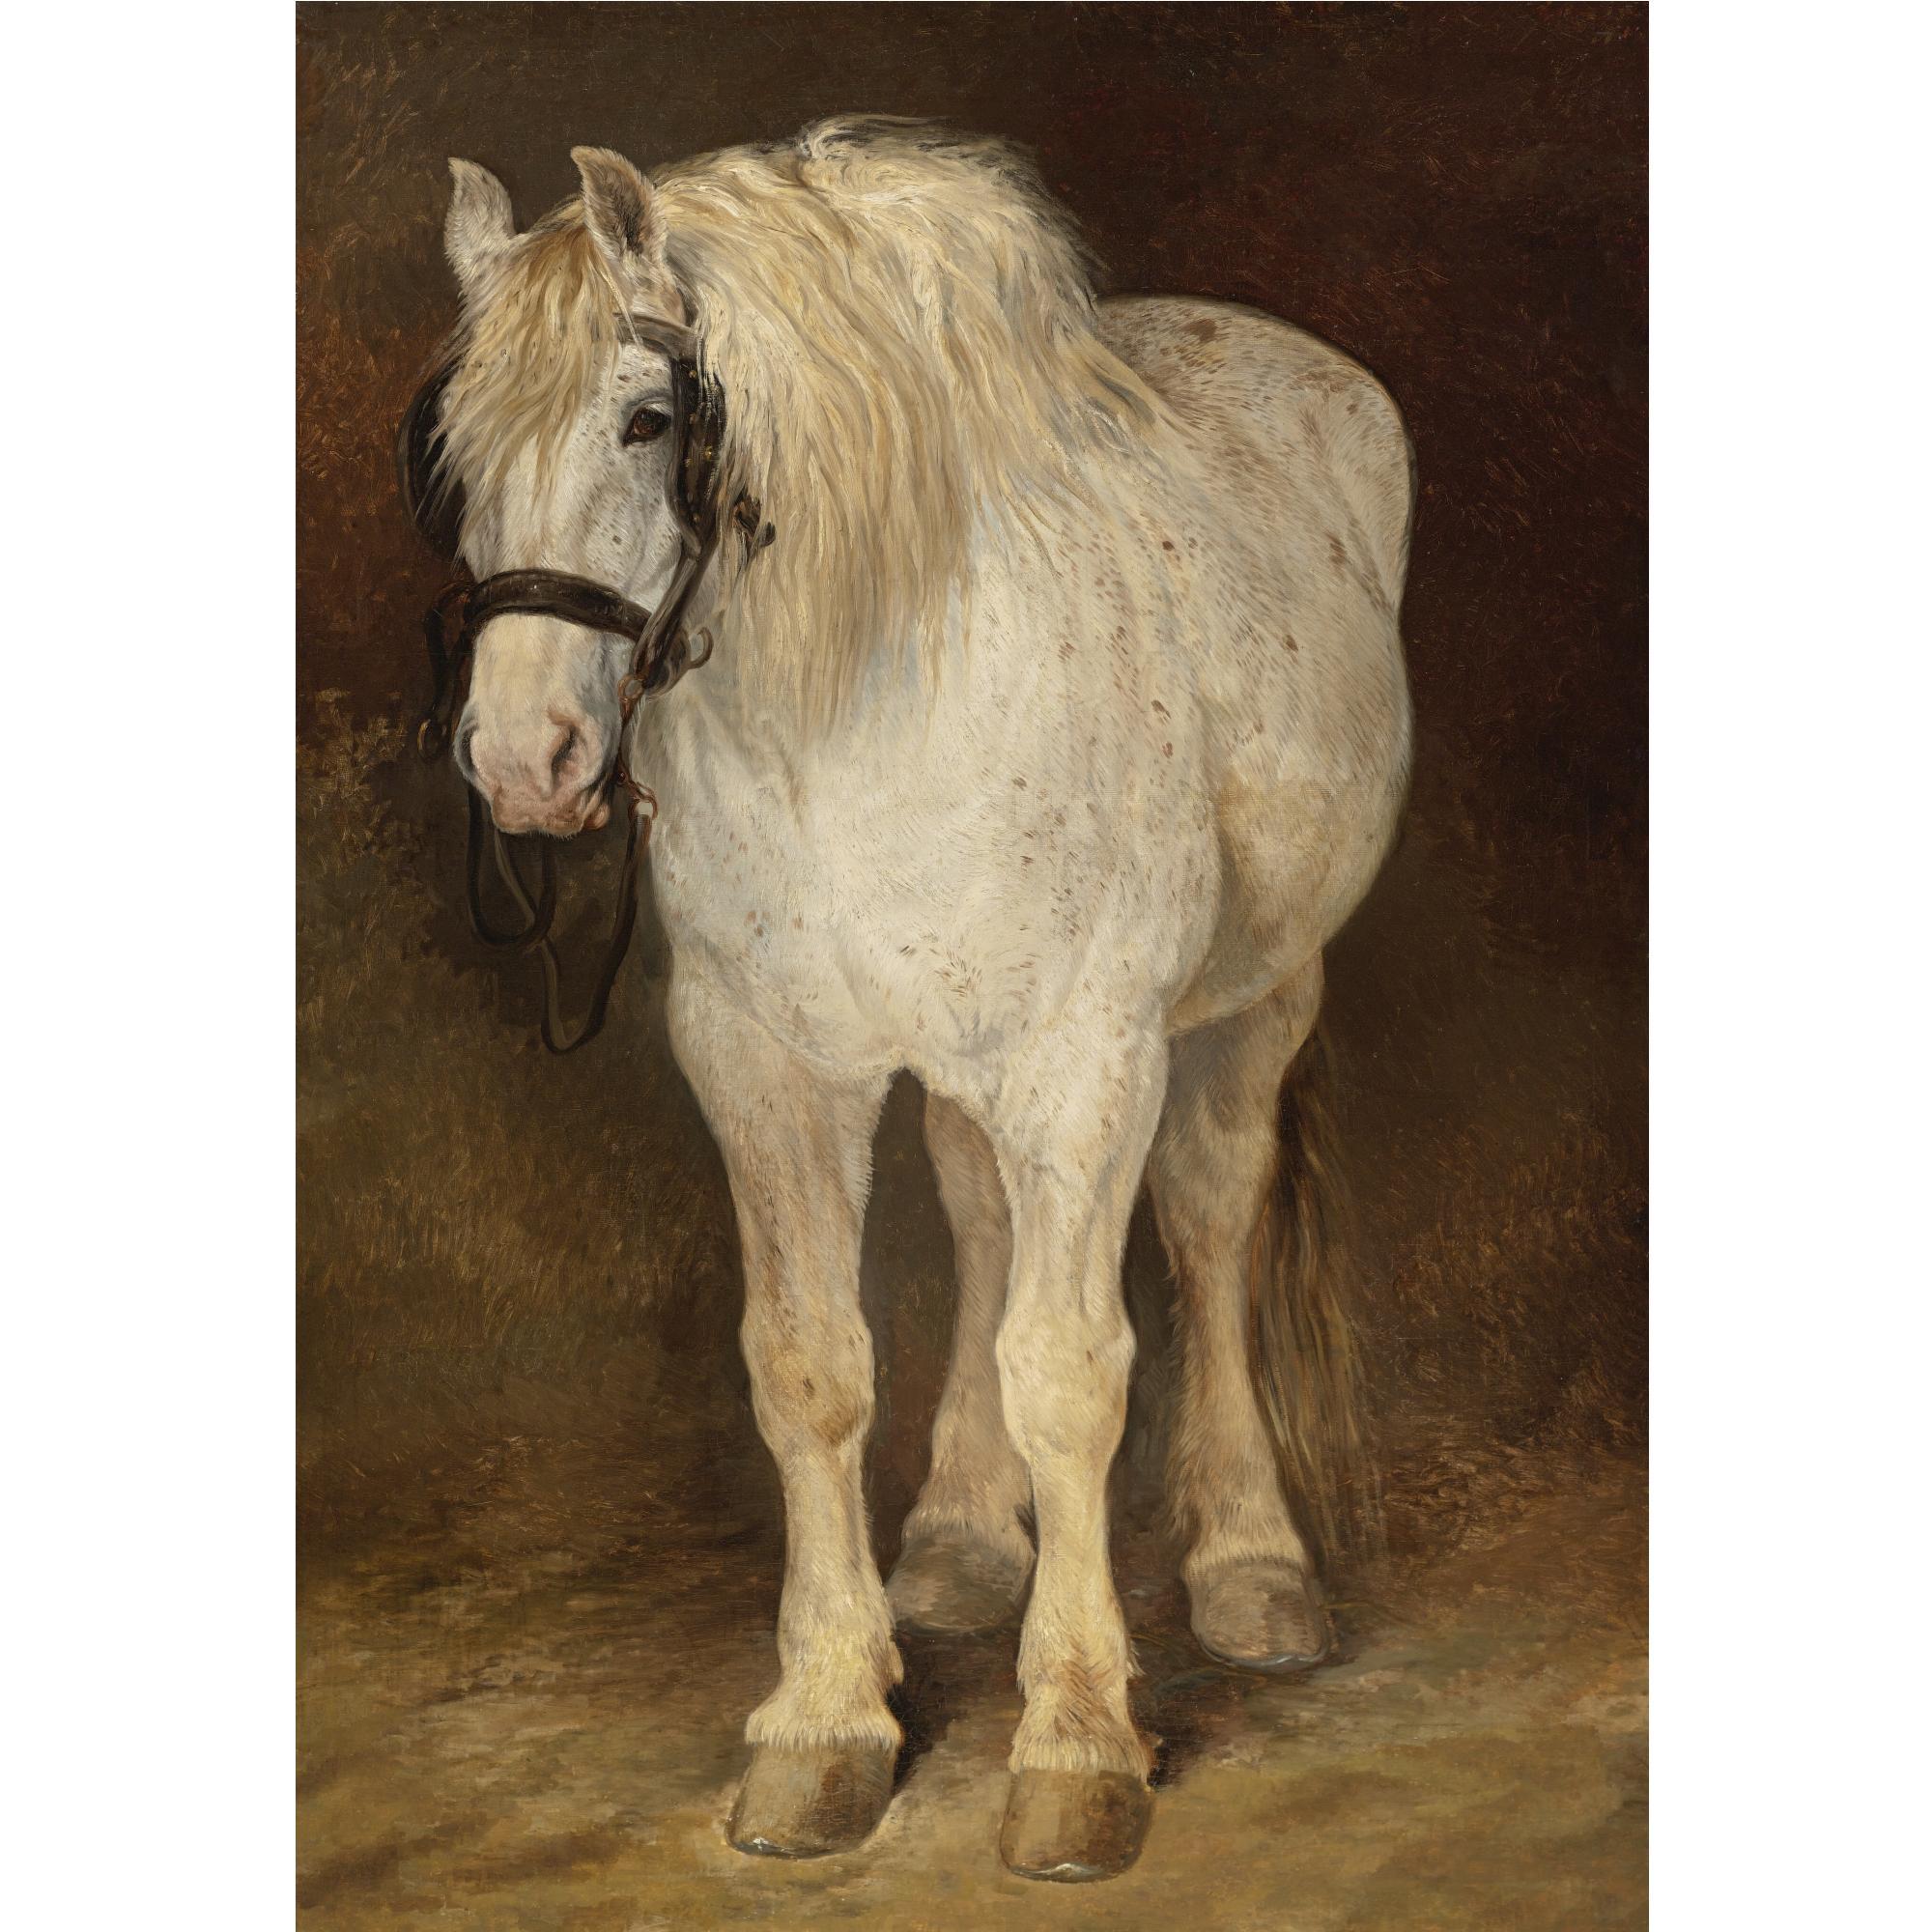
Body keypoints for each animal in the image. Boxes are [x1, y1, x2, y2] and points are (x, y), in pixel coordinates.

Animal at [411, 117, 1413, 1882]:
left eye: (648, 417)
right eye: (457, 449)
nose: (527, 762)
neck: (866, 701)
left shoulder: (1087, 1062)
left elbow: (1072, 1371)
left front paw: (1077, 1742)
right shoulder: (761, 1063)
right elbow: (811, 1366)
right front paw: (827, 1722)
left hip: (1257, 998)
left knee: (1211, 1223)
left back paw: (1252, 1564)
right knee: (983, 1215)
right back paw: (957, 1538)